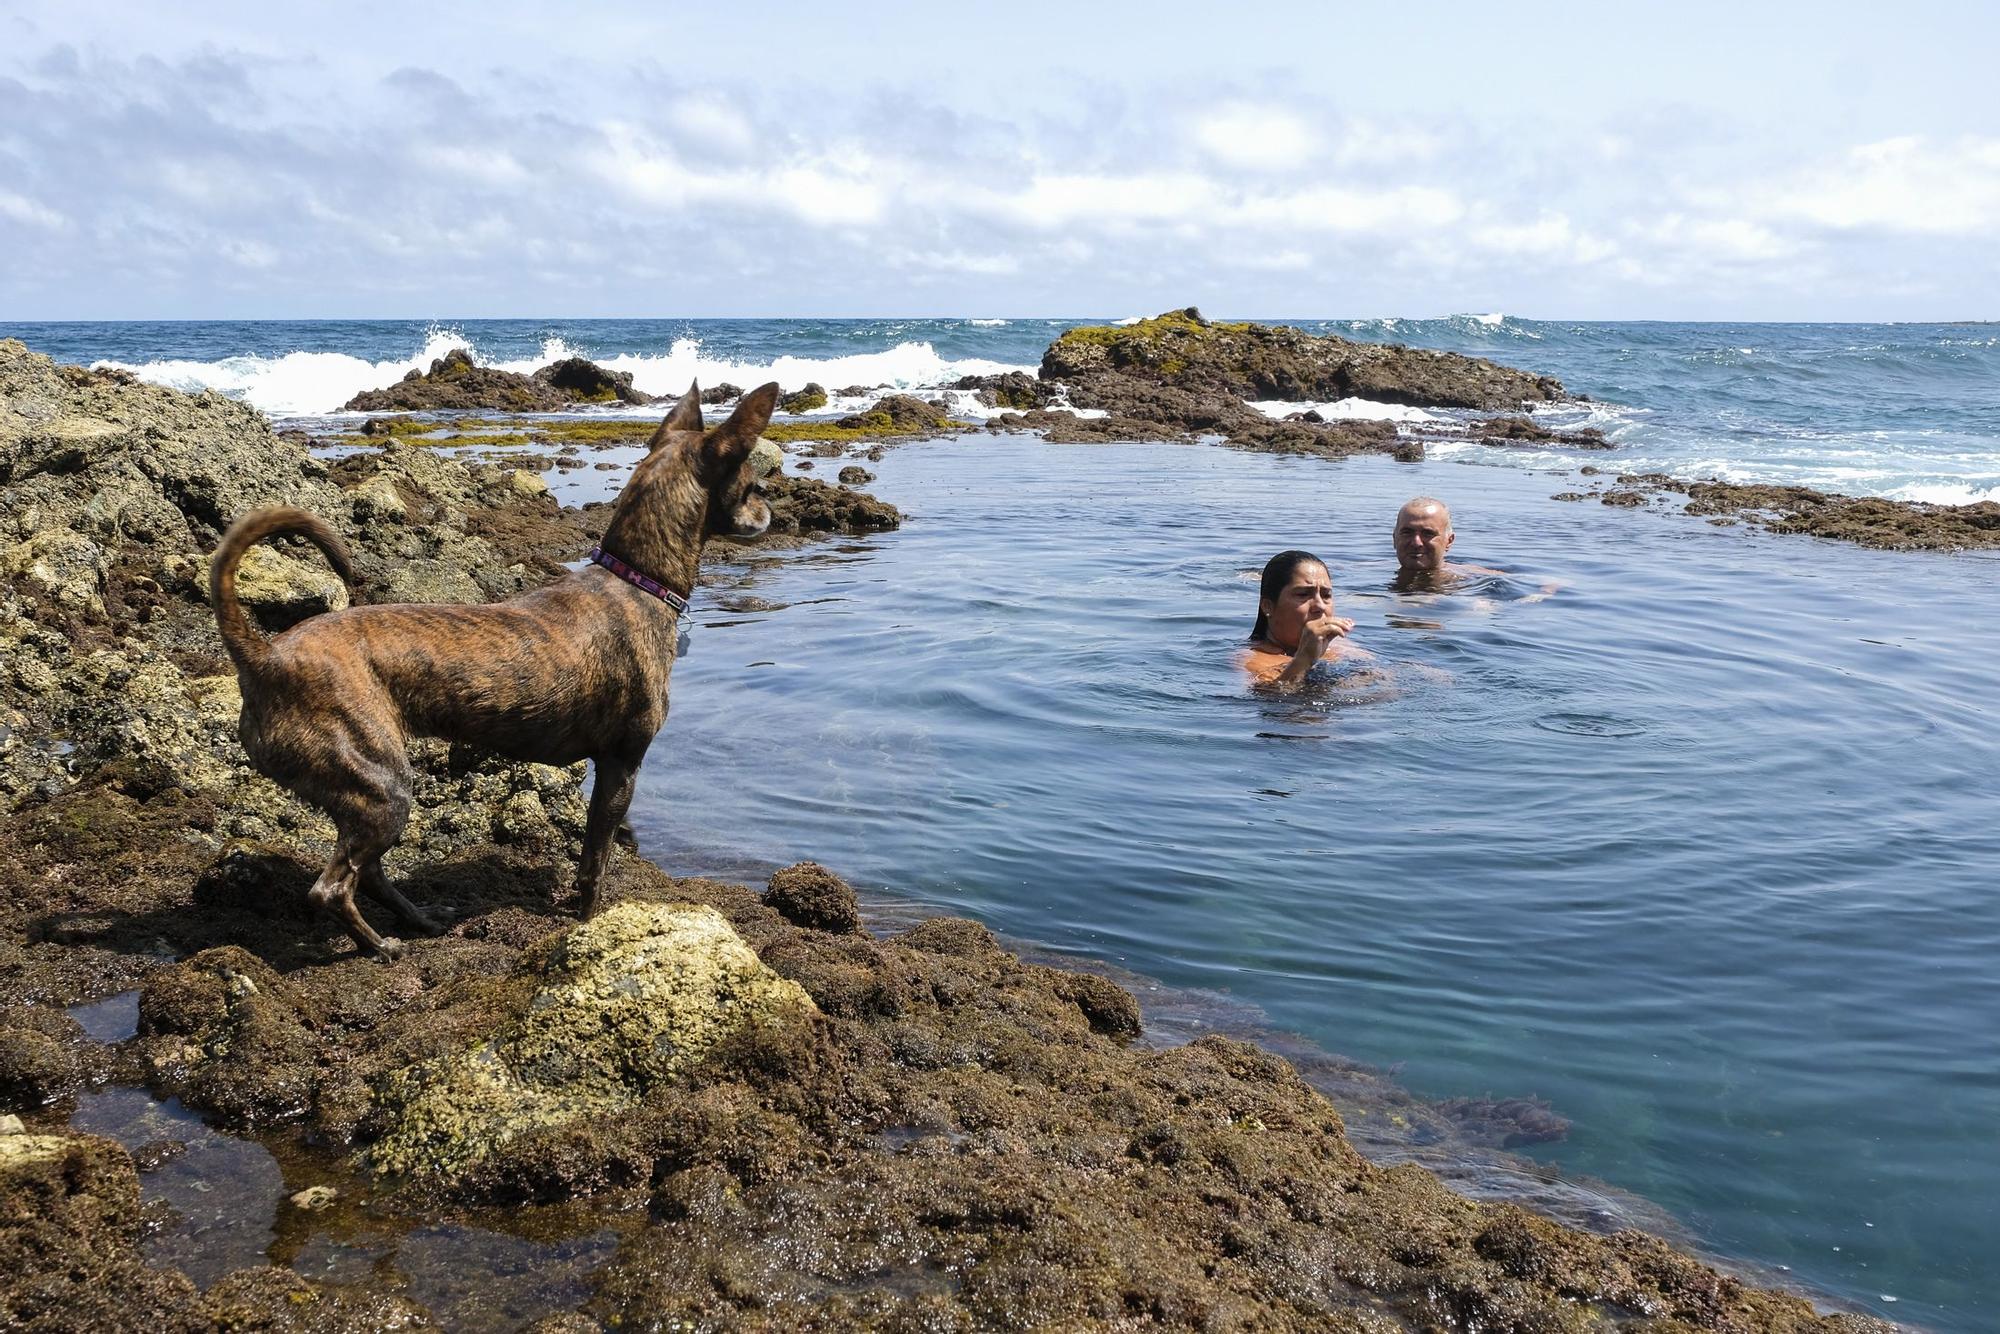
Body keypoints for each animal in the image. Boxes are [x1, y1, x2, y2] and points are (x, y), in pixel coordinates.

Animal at [211, 384, 780, 960]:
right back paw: (382, 946)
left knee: (367, 871)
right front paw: (591, 923)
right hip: (380, 784)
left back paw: (420, 920)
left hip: (364, 789)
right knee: (331, 887)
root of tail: (262, 656)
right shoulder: (622, 764)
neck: (635, 580)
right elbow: (593, 865)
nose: (771, 513)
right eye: (754, 485)